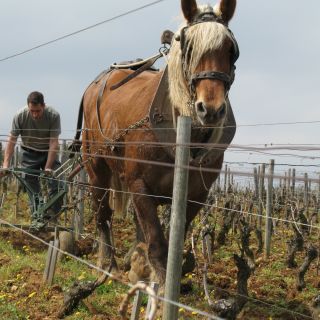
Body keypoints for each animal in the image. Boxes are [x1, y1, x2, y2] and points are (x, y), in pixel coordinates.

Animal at [76, 0, 239, 284]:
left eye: (231, 50)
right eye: (188, 48)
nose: (210, 109)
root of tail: (96, 83)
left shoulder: (197, 194)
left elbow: (173, 239)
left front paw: (154, 273)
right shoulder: (139, 183)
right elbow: (157, 241)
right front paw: (162, 287)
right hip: (96, 167)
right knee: (102, 215)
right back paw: (108, 265)